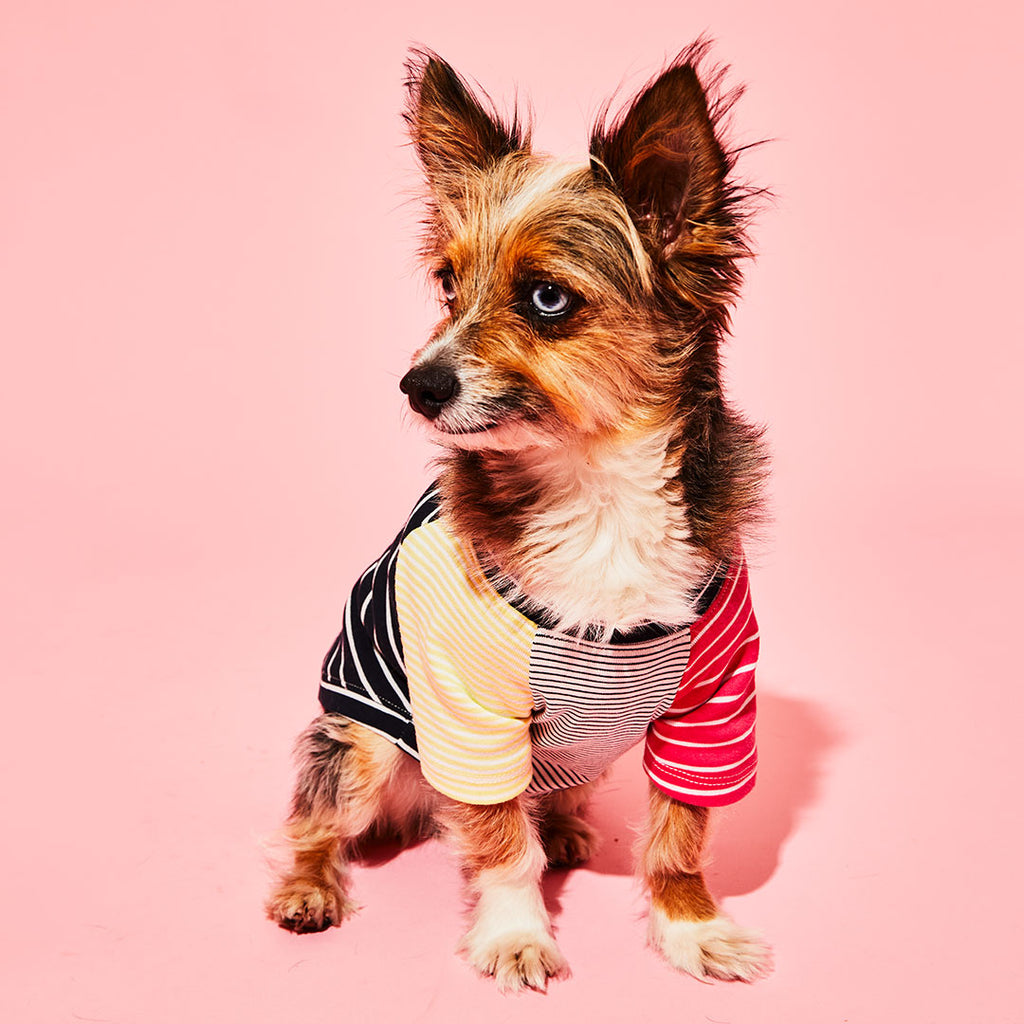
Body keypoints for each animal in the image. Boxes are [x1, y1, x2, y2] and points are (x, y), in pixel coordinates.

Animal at [268, 41, 770, 991]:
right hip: (366, 740)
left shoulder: (712, 710)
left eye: (546, 299)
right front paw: (514, 936)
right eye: (447, 283)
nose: (417, 384)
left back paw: (567, 827)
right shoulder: (467, 712)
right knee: (315, 817)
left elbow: (679, 839)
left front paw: (691, 929)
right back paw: (309, 887)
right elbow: (500, 846)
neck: (595, 487)